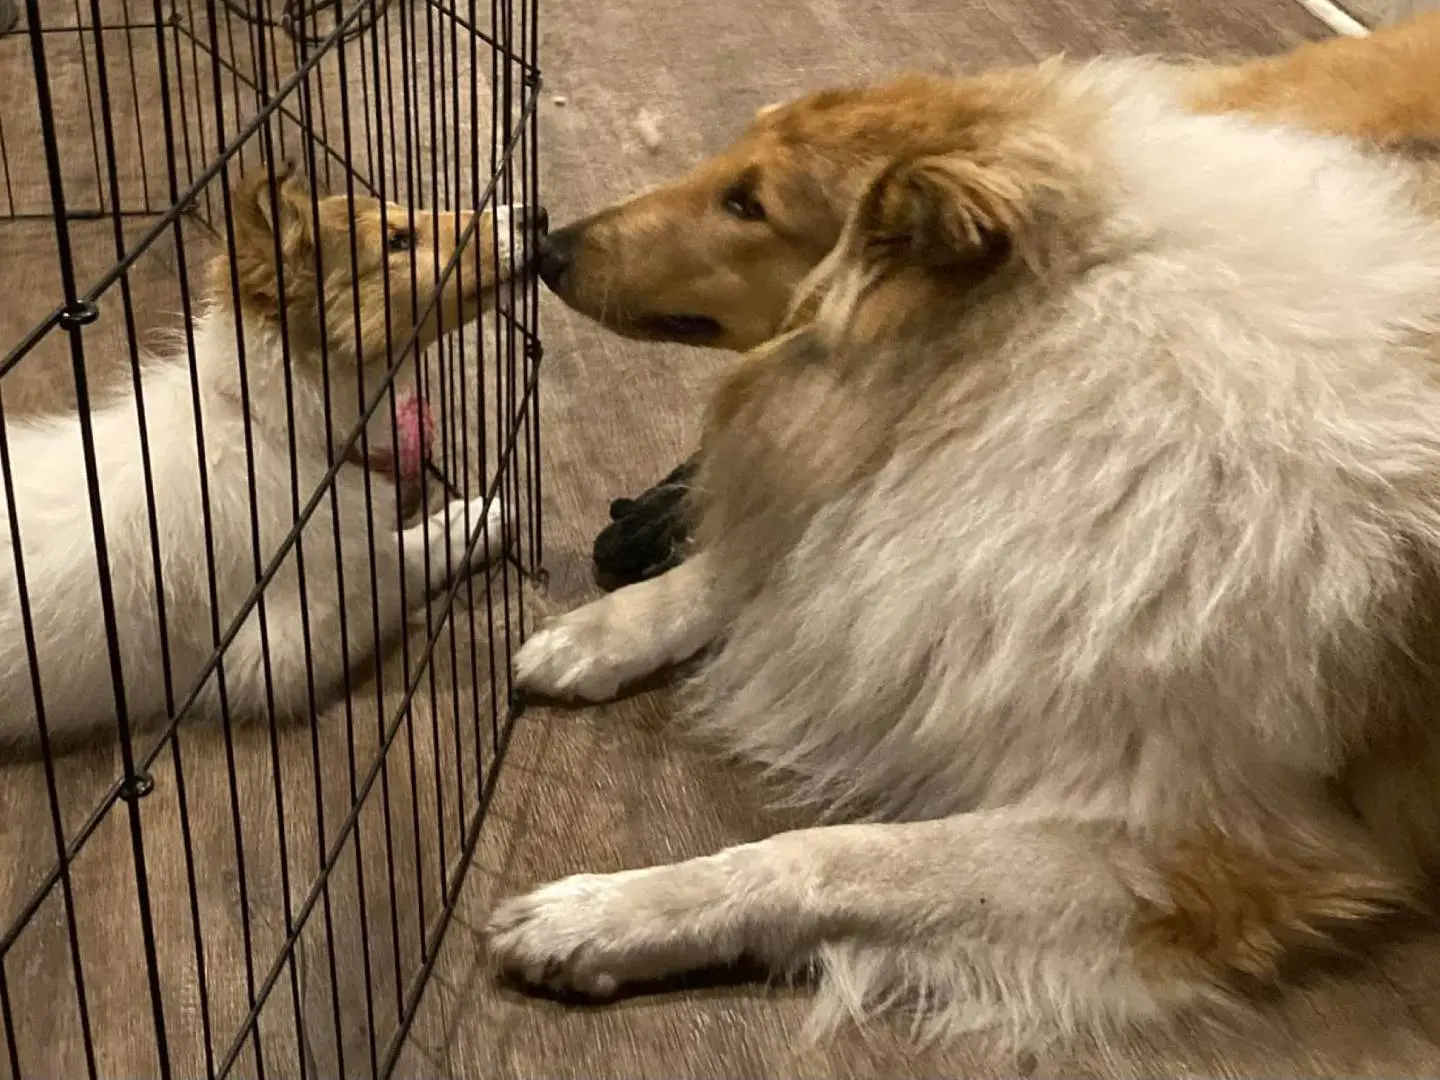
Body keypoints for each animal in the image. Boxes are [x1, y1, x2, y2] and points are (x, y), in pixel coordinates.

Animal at [0, 162, 544, 754]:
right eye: (397, 241)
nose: (535, 214)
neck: (270, 426)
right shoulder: (272, 651)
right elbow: (393, 563)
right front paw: (472, 521)